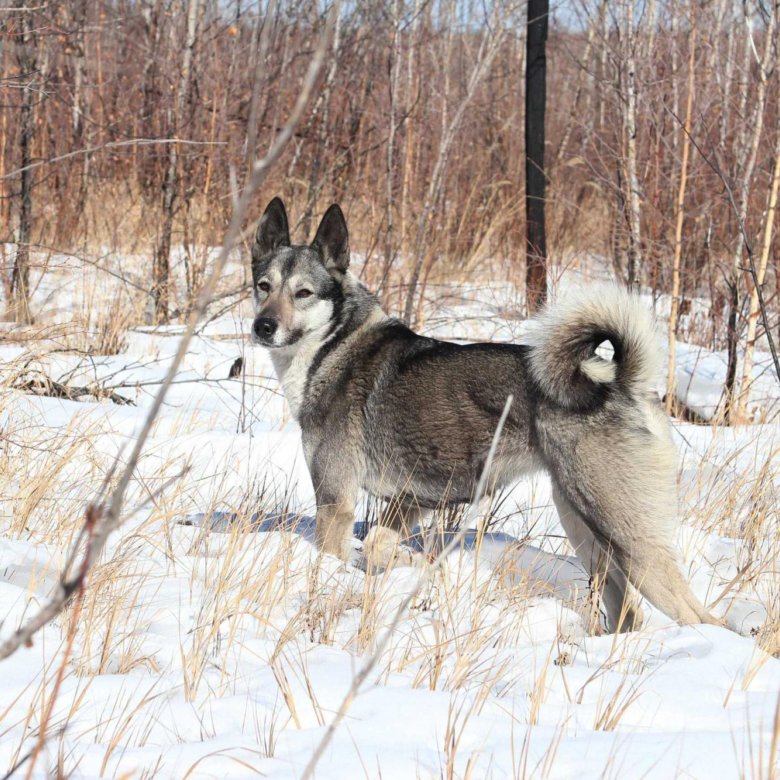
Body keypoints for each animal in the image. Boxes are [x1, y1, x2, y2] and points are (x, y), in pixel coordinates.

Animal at [250, 198, 720, 632]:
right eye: (263, 285)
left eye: (304, 293)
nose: (263, 327)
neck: (331, 347)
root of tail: (621, 383)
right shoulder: (409, 501)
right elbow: (380, 545)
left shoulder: (335, 504)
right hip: (584, 527)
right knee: (628, 612)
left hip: (627, 537)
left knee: (699, 617)